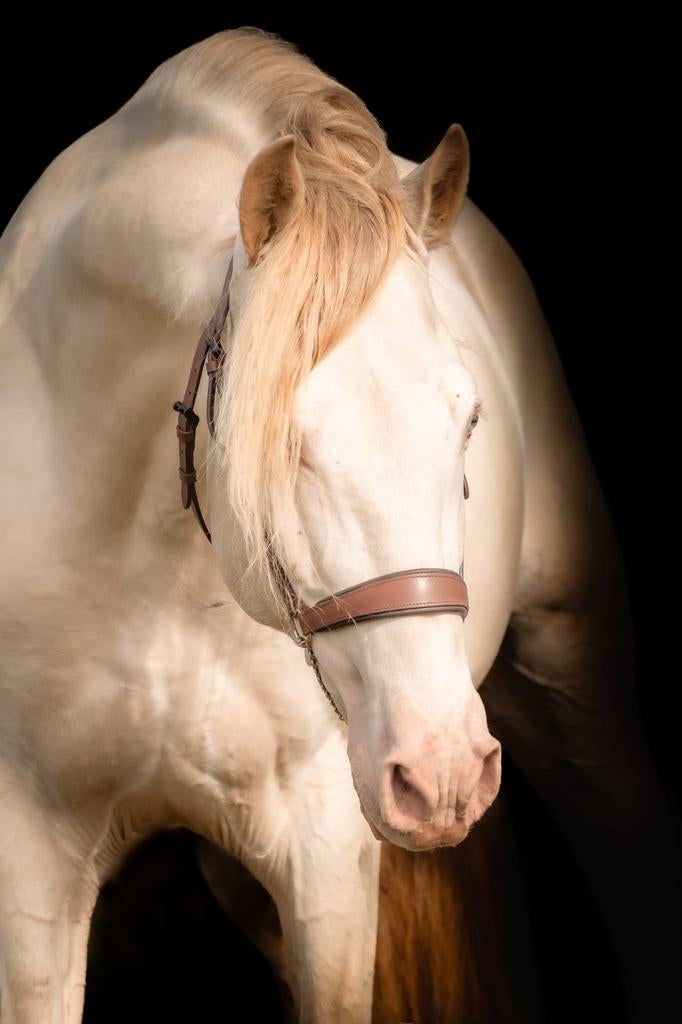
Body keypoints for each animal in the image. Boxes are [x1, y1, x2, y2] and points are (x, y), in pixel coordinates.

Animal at [0, 25, 678, 1024]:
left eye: (470, 419)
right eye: (284, 440)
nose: (441, 771)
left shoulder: (326, 851)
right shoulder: (35, 861)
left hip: (571, 682)